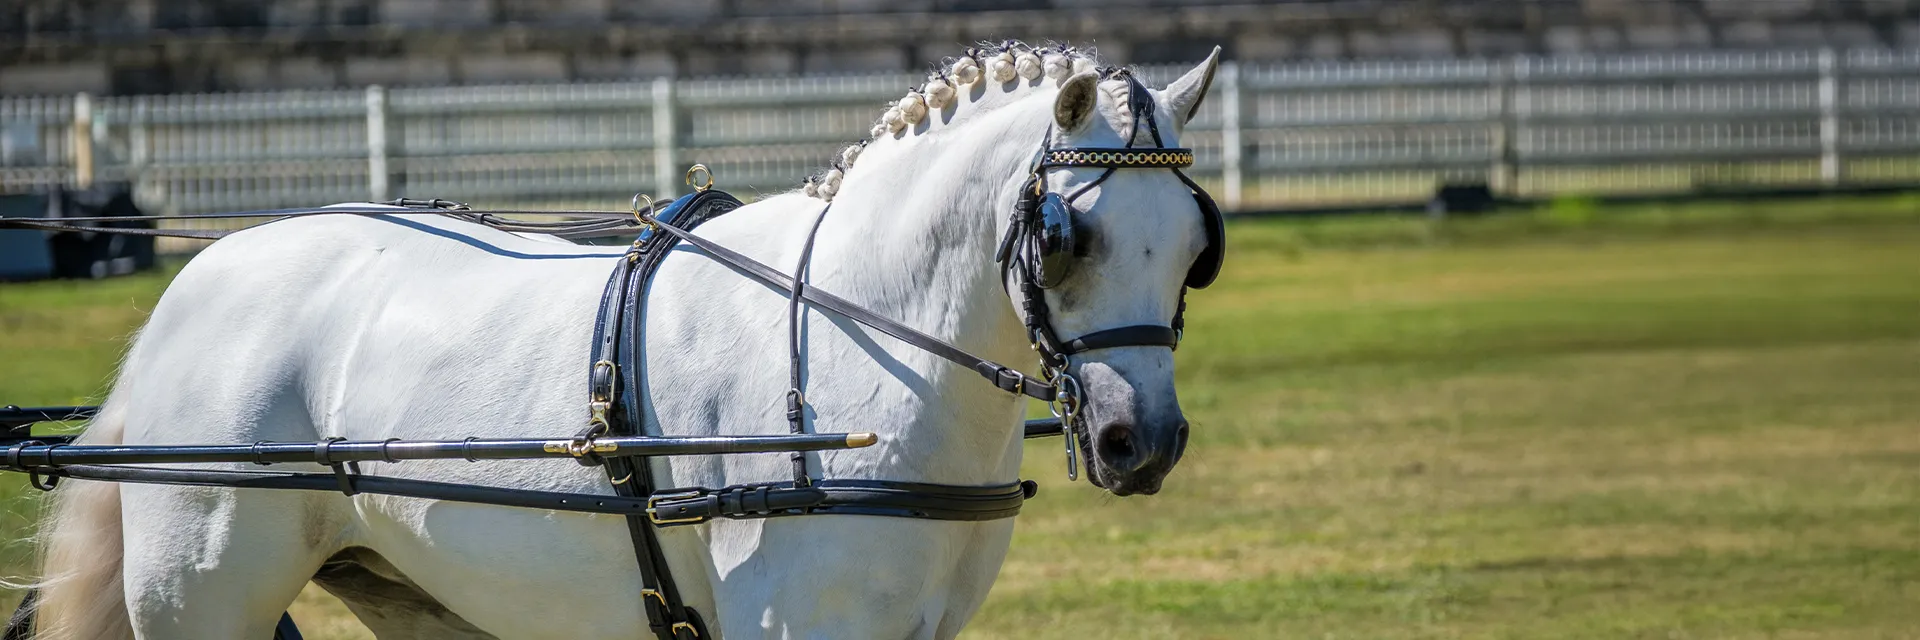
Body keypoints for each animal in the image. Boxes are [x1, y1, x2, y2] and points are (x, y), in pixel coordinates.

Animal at [29, 42, 1223, 639]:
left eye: (1193, 247)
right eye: (1068, 238)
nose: (1144, 441)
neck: (858, 346)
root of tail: (198, 284)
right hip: (202, 596)